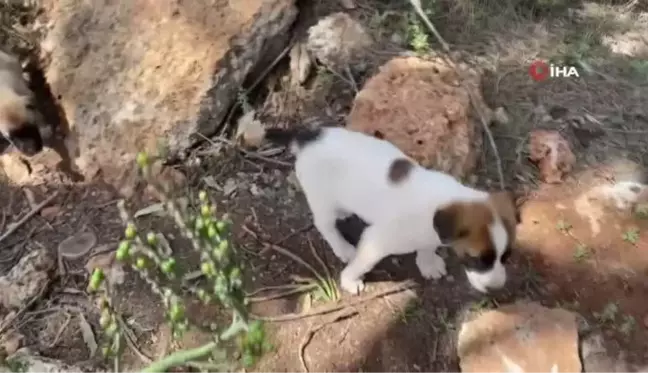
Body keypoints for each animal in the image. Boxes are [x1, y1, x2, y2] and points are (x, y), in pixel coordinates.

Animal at [247, 123, 520, 294]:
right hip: (321, 198)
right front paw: (349, 281)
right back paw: (343, 248)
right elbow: (362, 263)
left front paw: (428, 263)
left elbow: (426, 247)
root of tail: (306, 138)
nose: (496, 288)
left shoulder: (430, 234)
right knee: (324, 225)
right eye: (477, 259)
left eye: (506, 257)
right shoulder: (376, 241)